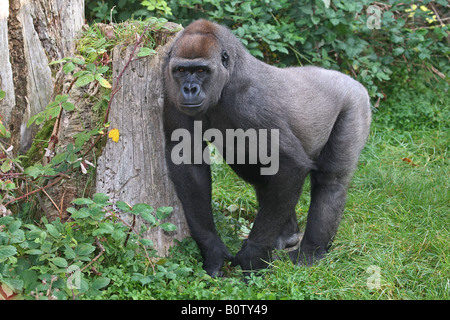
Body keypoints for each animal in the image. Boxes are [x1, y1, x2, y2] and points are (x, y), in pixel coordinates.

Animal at [163, 19, 370, 278]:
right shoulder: (170, 88)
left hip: (355, 103)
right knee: (260, 174)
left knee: (330, 182)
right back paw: (288, 235)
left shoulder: (251, 101)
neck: (230, 75)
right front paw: (212, 247)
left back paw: (311, 251)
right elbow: (186, 160)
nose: (189, 89)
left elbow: (291, 165)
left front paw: (253, 254)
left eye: (201, 71)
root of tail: (350, 80)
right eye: (181, 71)